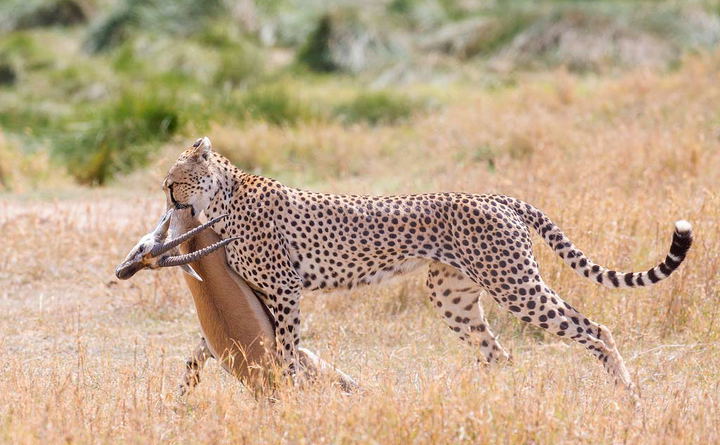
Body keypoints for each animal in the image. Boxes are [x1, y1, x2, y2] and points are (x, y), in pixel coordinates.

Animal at [163, 136, 693, 394]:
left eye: (173, 180)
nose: (167, 199)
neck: (225, 195)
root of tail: (496, 196)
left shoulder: (285, 291)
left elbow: (287, 349)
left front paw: (291, 392)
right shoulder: (261, 293)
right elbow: (200, 349)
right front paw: (182, 396)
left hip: (514, 285)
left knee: (594, 329)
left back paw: (628, 396)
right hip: (452, 294)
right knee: (498, 354)